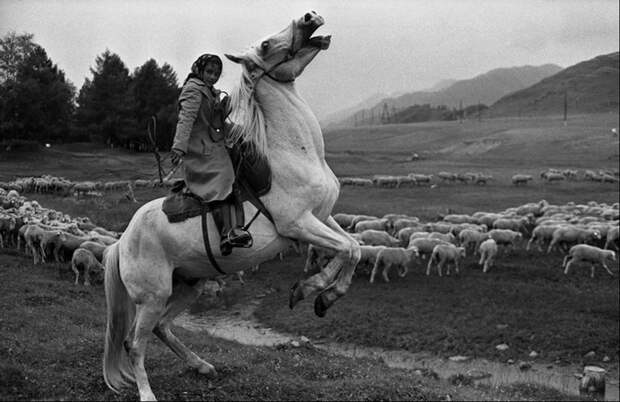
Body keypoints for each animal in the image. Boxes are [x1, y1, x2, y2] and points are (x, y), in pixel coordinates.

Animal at [104, 11, 360, 400]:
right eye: (266, 45)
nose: (309, 17)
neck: (295, 153)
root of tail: (122, 242)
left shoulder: (323, 217)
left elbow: (354, 248)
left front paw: (323, 296)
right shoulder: (298, 223)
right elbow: (346, 249)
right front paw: (310, 291)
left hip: (188, 284)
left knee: (162, 328)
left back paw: (202, 366)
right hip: (153, 295)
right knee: (135, 343)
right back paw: (148, 393)